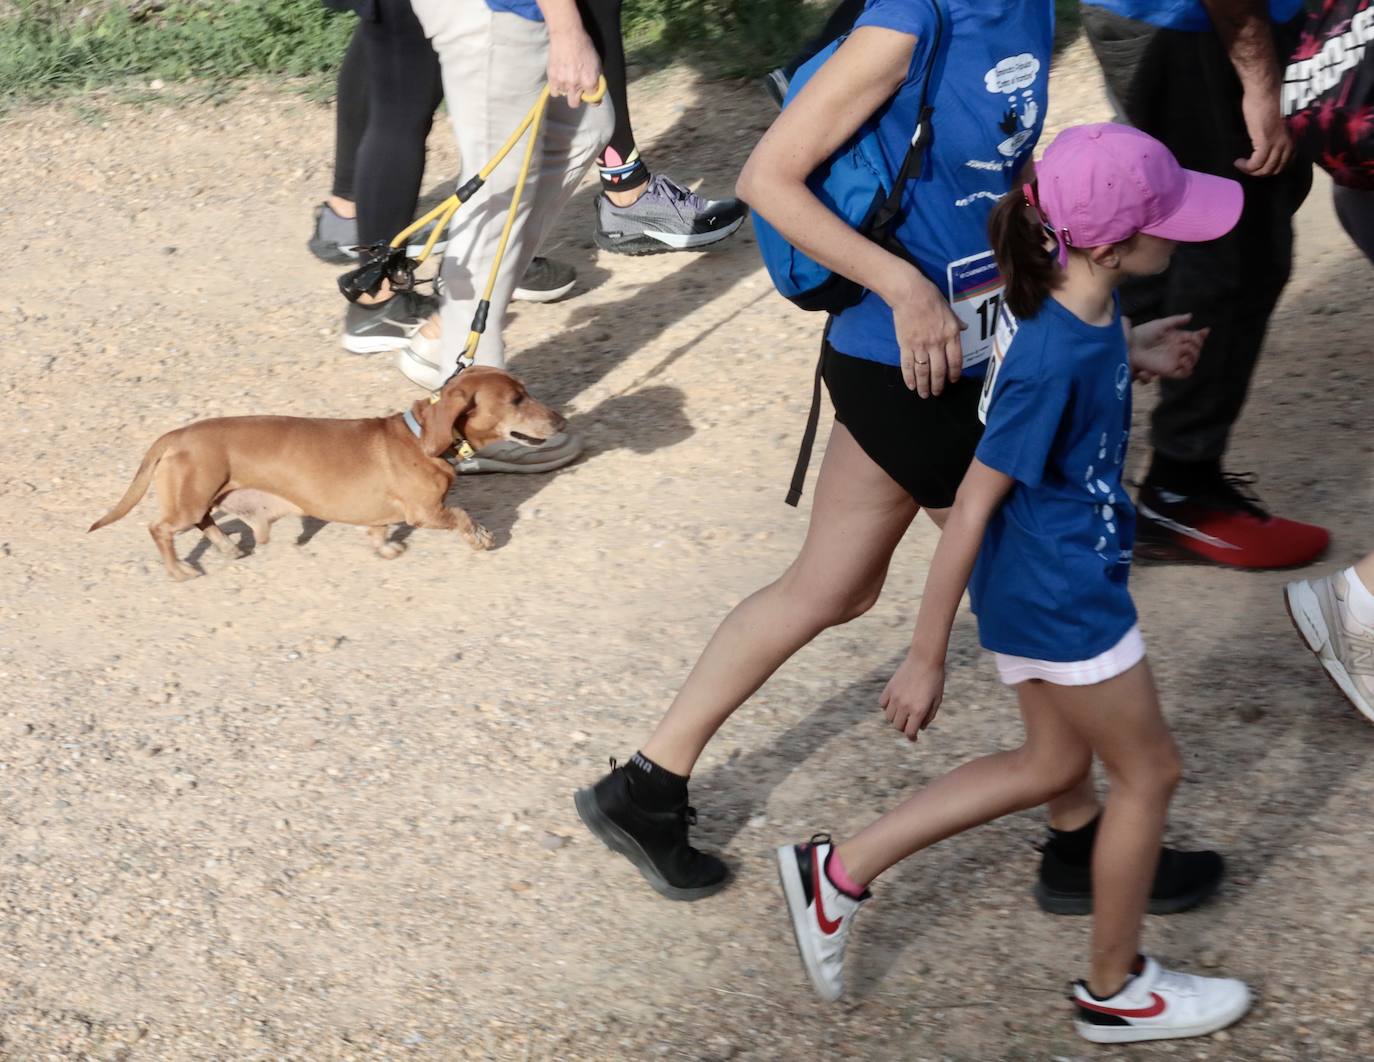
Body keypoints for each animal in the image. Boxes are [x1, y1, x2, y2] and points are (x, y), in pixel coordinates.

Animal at [89, 365, 563, 579]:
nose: (561, 420)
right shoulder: (426, 511)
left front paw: (386, 550)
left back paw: (228, 548)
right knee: (160, 528)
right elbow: (463, 516)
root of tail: (174, 435)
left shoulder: (384, 514)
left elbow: (378, 531)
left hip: (206, 495)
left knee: (207, 522)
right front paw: (481, 537)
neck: (420, 438)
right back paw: (180, 571)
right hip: (188, 500)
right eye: (517, 399)